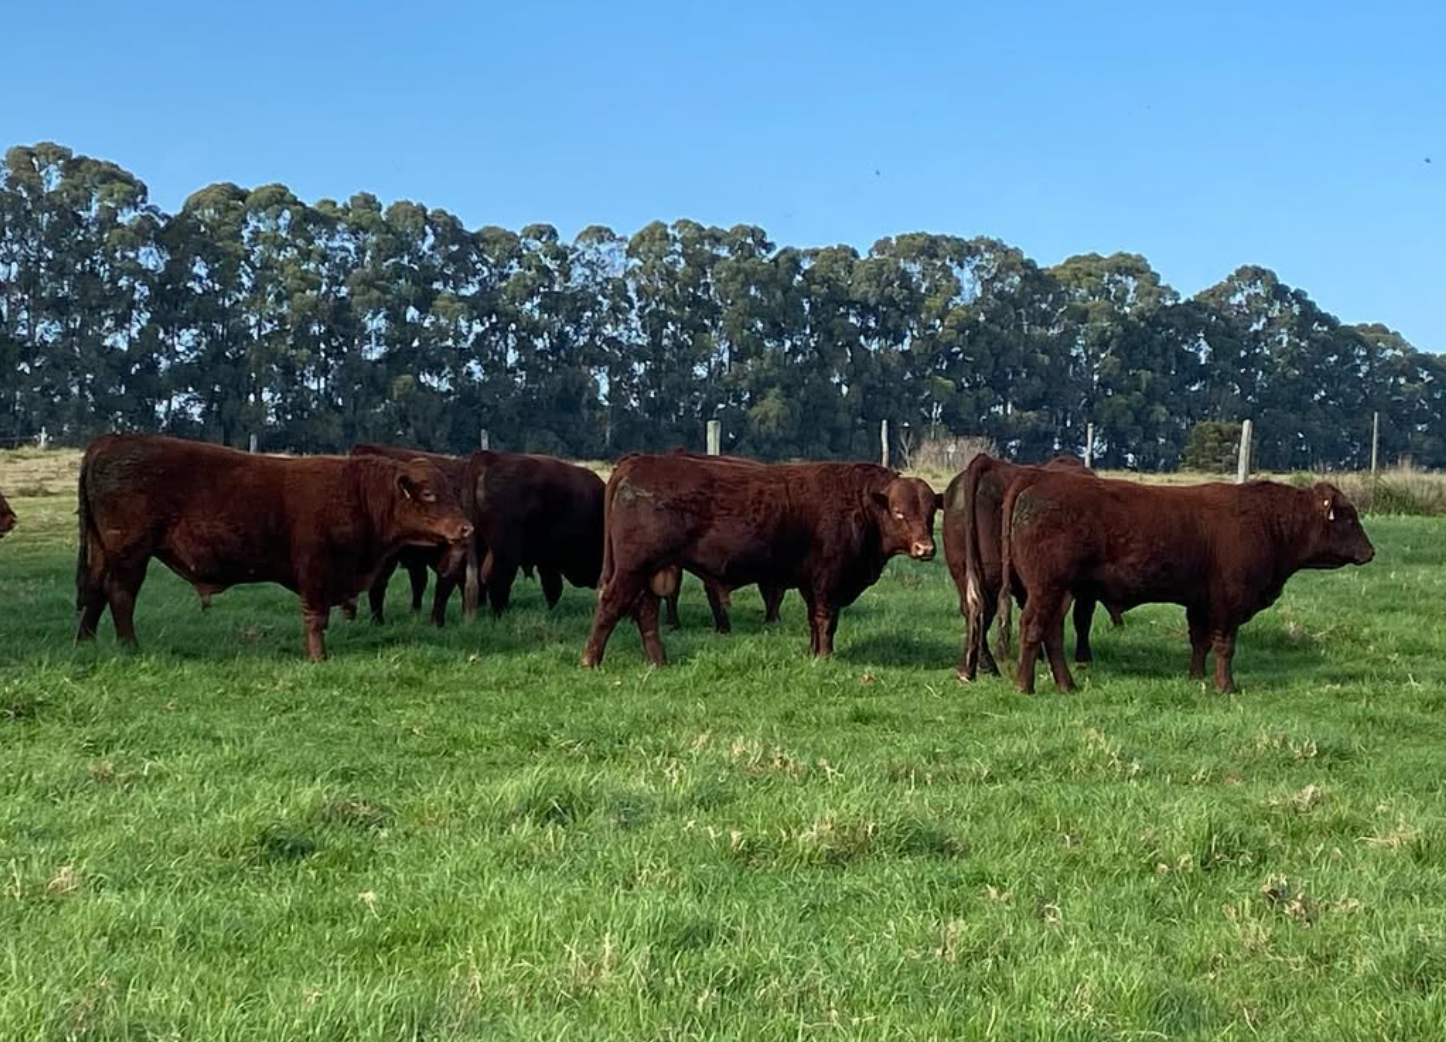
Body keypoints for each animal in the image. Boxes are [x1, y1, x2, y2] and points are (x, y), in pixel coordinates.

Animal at [460, 450, 605, 619]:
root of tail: (489, 456)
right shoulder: (550, 558)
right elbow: (554, 587)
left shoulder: (546, 560)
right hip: (504, 551)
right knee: (496, 576)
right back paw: (501, 613)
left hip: (478, 544)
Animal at [581, 454, 941, 668]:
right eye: (899, 512)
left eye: (930, 512)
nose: (925, 548)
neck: (858, 504)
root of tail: (637, 461)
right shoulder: (829, 579)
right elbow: (827, 620)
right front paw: (826, 657)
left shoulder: (810, 583)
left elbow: (813, 620)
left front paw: (812, 653)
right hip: (633, 568)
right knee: (612, 605)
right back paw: (591, 659)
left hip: (653, 571)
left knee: (645, 610)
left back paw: (658, 660)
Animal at [945, 453, 1122, 681]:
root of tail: (989, 463)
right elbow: (1081, 617)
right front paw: (1083, 660)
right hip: (993, 573)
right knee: (985, 610)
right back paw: (986, 666)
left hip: (963, 570)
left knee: (972, 610)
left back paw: (971, 667)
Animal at [996, 470, 1375, 694]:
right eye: (1348, 517)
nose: (1370, 552)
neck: (1266, 522)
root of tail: (1038, 480)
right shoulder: (1229, 602)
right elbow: (1224, 646)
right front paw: (1226, 687)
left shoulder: (1199, 603)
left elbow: (1200, 642)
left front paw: (1196, 678)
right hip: (1047, 588)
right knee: (1033, 630)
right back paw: (1024, 686)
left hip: (1061, 591)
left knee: (1052, 634)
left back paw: (1067, 685)